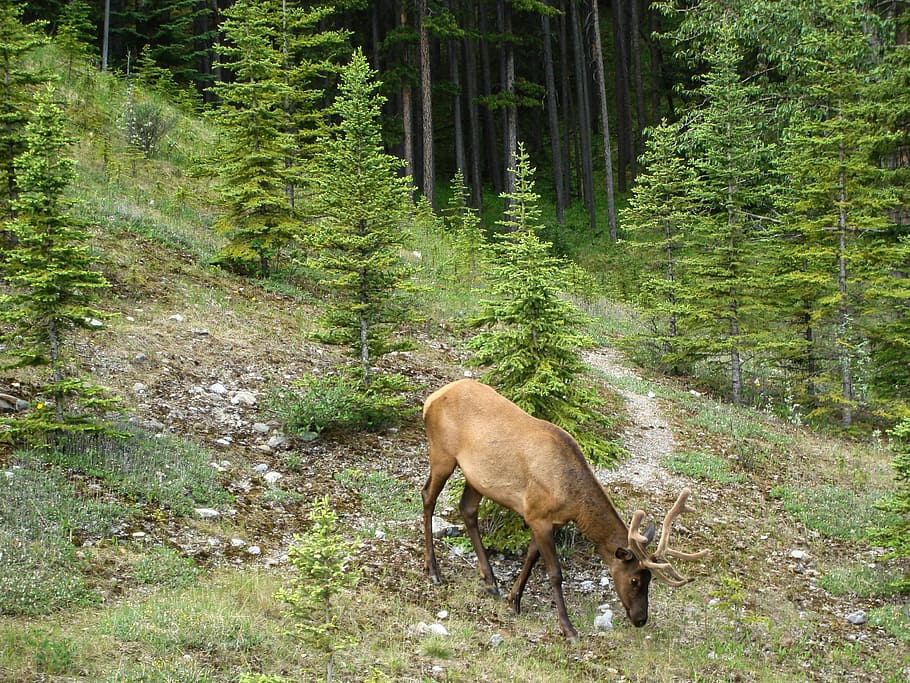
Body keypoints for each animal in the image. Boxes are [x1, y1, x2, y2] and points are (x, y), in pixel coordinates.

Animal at [420, 380, 712, 640]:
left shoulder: (550, 521)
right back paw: (433, 571)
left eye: (650, 579)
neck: (574, 503)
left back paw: (490, 582)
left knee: (468, 509)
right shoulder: (537, 516)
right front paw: (568, 629)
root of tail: (430, 399)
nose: (641, 619)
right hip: (442, 454)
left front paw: (514, 602)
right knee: (427, 497)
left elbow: (530, 558)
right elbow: (555, 573)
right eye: (634, 580)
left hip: (477, 478)